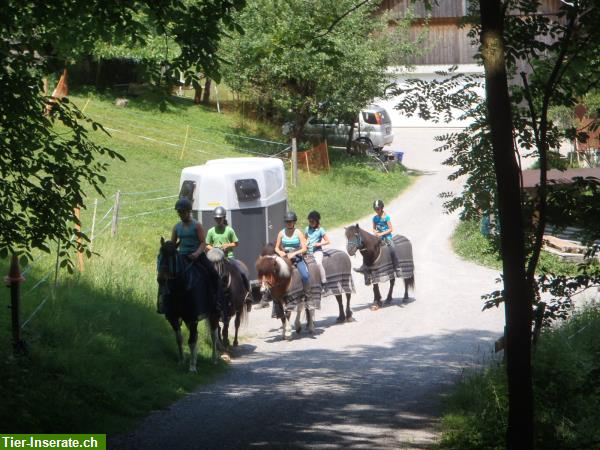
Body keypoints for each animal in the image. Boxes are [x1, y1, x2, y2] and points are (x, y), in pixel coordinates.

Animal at [155, 237, 220, 370]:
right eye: (160, 255)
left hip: (214, 314)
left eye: (173, 257)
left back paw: (214, 359)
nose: (161, 279)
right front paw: (182, 361)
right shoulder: (173, 318)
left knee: (214, 335)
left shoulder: (193, 318)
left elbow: (191, 341)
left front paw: (192, 367)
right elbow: (179, 339)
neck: (180, 289)